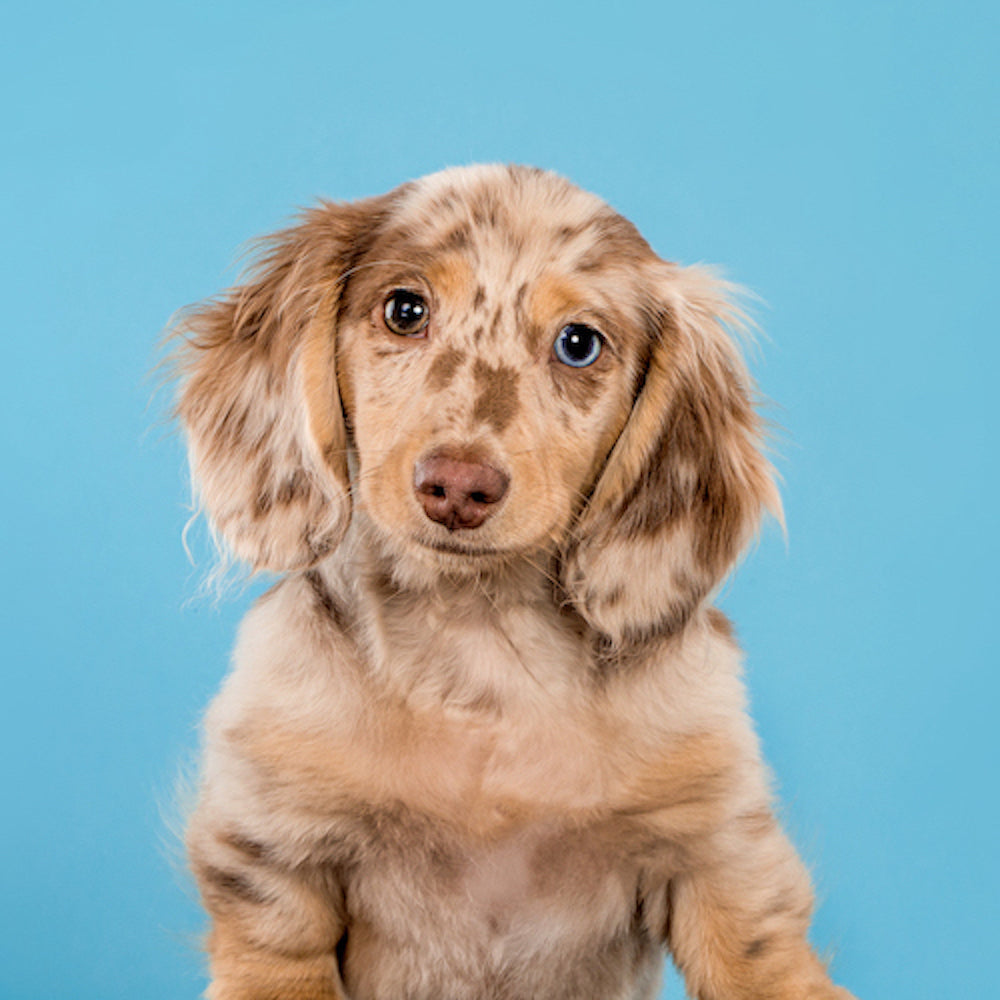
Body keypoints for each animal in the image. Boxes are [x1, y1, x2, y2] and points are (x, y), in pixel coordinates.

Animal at [170, 166, 852, 1000]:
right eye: (405, 309)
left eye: (579, 344)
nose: (457, 488)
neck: (481, 652)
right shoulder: (274, 854)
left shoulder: (719, 855)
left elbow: (766, 961)